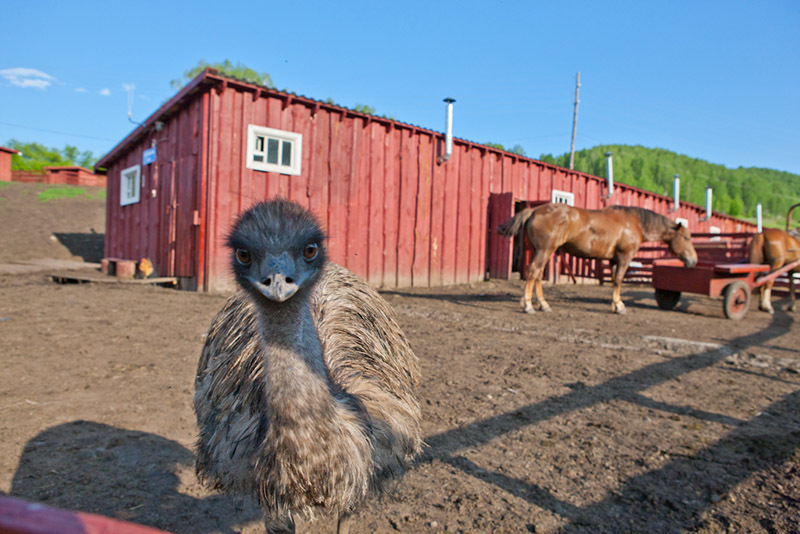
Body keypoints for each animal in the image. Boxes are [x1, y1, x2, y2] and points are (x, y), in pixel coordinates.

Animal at [496, 204, 696, 314]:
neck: (635, 223)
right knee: (533, 273)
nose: (693, 261)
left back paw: (543, 304)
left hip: (542, 251)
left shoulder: (614, 260)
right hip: (545, 250)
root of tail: (535, 210)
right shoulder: (624, 257)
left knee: (537, 275)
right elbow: (619, 280)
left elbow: (614, 281)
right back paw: (528, 305)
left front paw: (615, 304)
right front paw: (620, 306)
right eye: (686, 238)